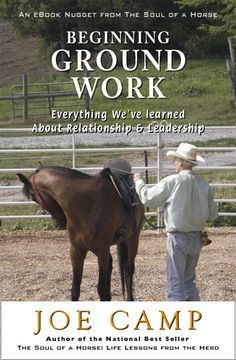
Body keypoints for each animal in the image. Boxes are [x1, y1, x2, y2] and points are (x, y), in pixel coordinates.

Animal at [17, 163, 144, 300]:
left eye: (33, 196)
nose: (60, 221)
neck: (87, 203)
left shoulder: (102, 251)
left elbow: (103, 292)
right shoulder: (76, 250)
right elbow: (75, 290)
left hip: (132, 240)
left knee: (129, 270)